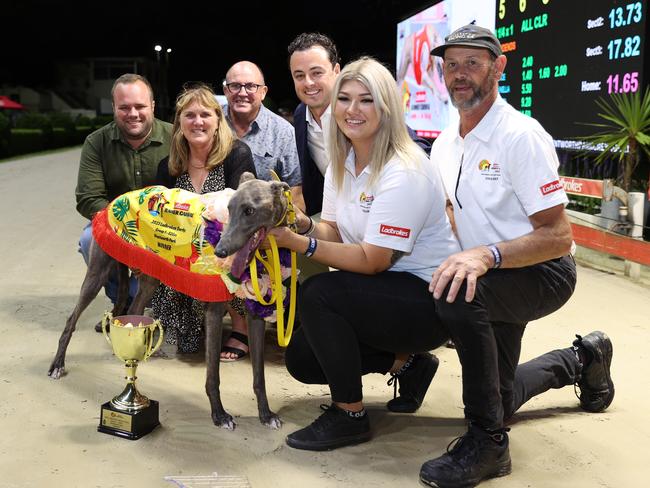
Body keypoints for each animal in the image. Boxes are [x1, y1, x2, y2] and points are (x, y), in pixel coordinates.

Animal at [50, 173, 292, 430]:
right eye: (229, 208)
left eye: (249, 210)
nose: (220, 251)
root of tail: (115, 201)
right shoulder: (214, 310)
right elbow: (213, 375)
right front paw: (219, 415)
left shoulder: (256, 314)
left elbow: (259, 376)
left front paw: (266, 414)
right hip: (98, 273)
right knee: (71, 320)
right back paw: (57, 365)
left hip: (150, 278)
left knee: (134, 309)